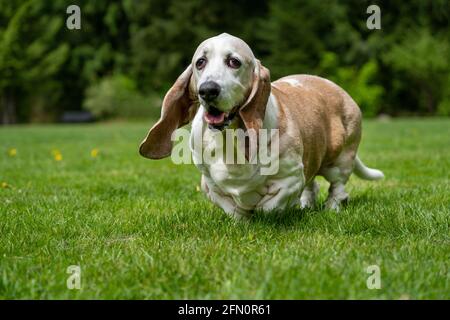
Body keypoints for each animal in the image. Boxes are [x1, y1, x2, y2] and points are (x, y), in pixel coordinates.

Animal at [140, 33, 384, 218]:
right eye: (200, 62)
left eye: (234, 61)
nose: (208, 90)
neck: (230, 140)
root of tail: (339, 90)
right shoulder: (210, 185)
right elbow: (234, 210)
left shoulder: (290, 178)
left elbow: (270, 206)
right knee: (312, 186)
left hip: (340, 160)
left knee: (337, 189)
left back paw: (331, 208)